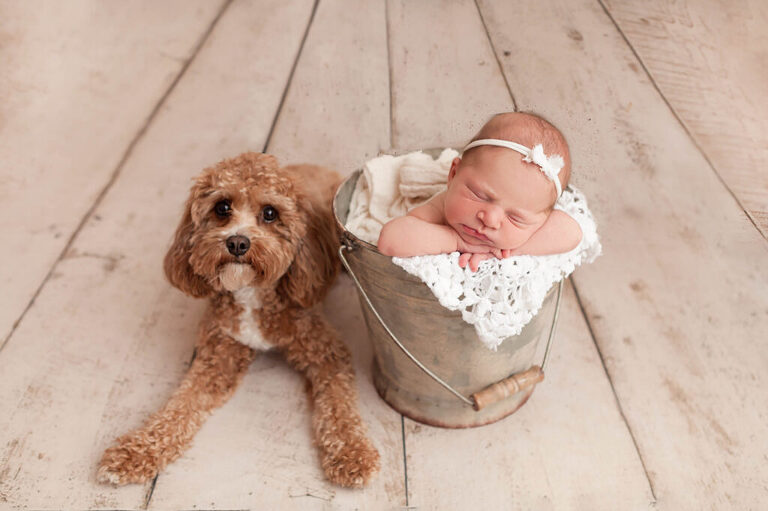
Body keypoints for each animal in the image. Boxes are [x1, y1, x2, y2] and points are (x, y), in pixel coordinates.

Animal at [97, 151, 380, 488]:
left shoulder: (326, 352)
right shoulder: (217, 358)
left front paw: (352, 453)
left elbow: (339, 404)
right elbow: (180, 405)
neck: (250, 293)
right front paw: (136, 450)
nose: (237, 243)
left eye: (270, 213)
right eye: (222, 207)